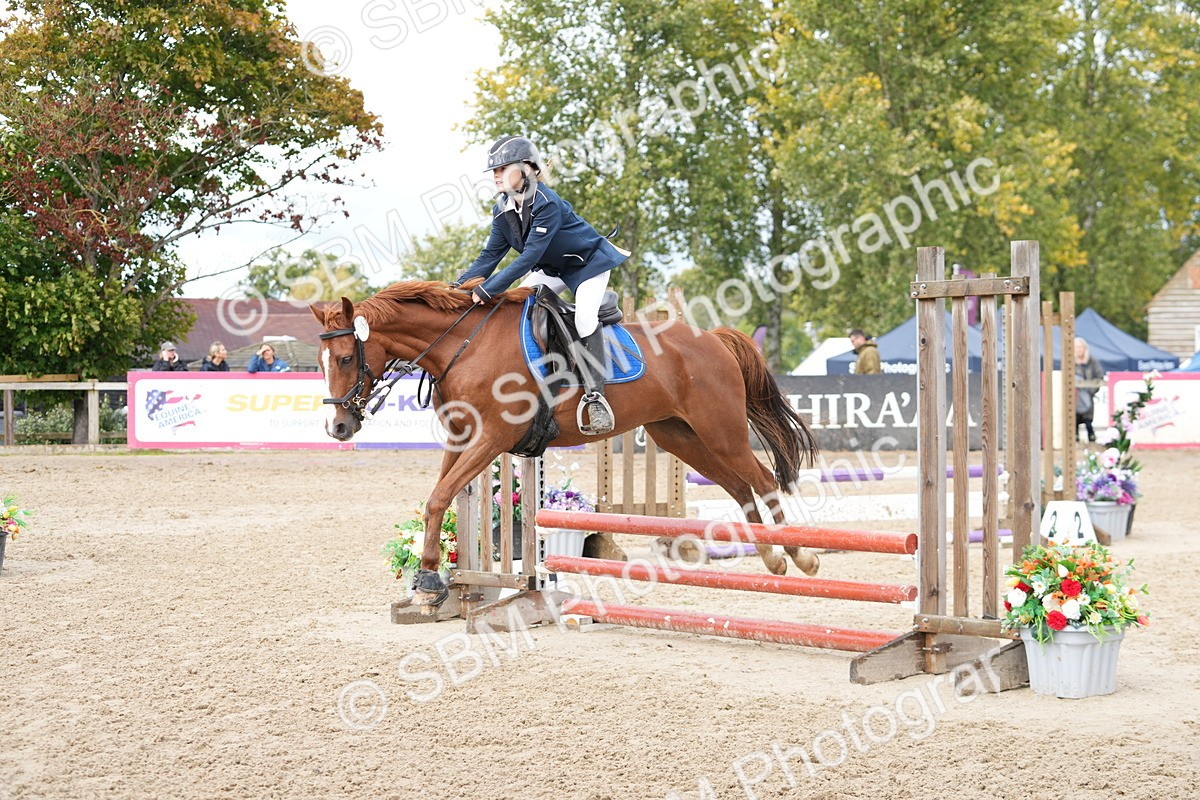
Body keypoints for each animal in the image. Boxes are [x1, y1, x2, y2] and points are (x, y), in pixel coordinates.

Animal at [310, 280, 821, 610]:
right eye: (321, 361)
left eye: (344, 358)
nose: (338, 426)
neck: (463, 346)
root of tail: (712, 338)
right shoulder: (462, 437)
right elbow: (439, 499)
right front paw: (432, 578)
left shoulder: (491, 438)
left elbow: (438, 498)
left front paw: (429, 578)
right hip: (680, 435)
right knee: (739, 486)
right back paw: (774, 559)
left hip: (720, 430)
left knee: (763, 479)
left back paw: (802, 556)